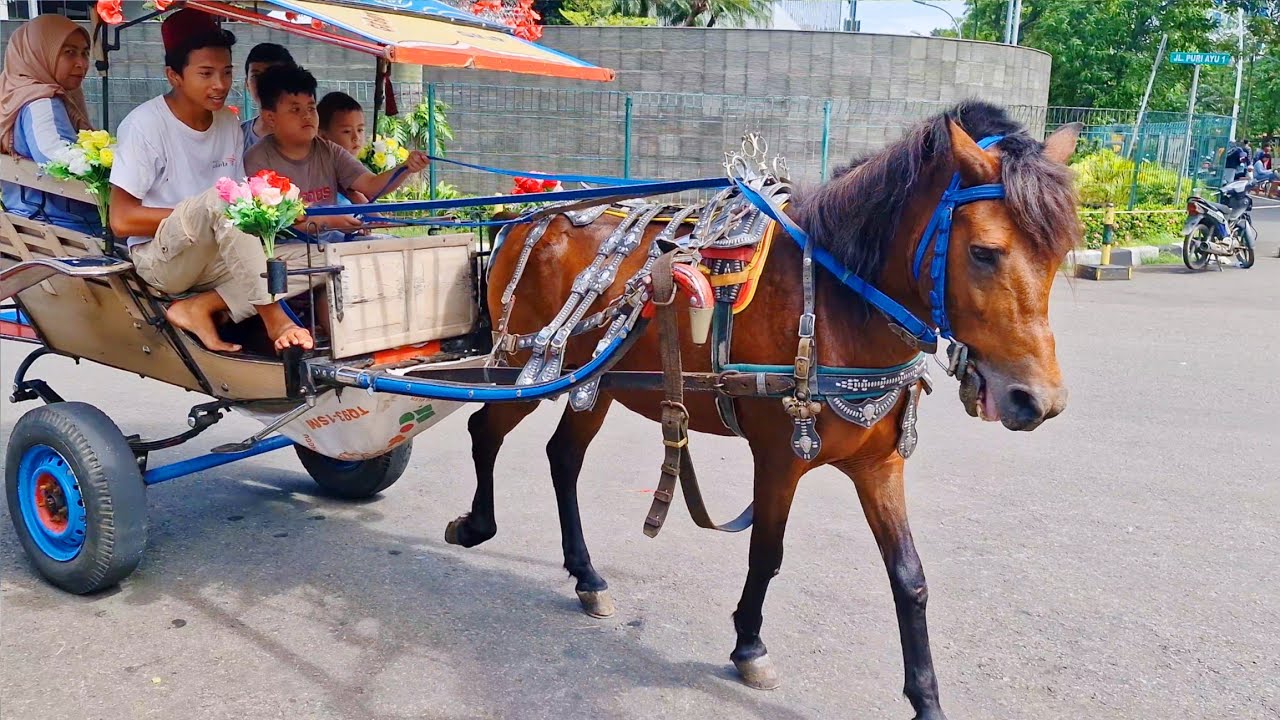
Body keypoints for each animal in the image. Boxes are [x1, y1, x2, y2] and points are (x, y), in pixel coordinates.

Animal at [445, 100, 1081, 718]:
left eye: (1058, 256)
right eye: (984, 252)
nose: (1036, 400)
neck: (838, 305)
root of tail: (529, 216)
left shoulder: (879, 466)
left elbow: (910, 578)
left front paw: (926, 698)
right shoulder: (779, 457)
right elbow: (766, 553)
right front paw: (749, 646)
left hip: (594, 384)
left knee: (563, 458)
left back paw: (586, 575)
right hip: (524, 367)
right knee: (483, 427)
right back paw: (477, 524)